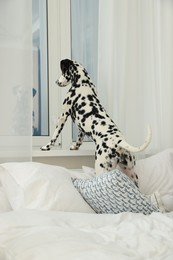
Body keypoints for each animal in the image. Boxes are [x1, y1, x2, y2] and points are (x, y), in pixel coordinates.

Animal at [41, 58, 151, 187]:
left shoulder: (63, 115)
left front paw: (46, 147)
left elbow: (55, 135)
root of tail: (119, 142)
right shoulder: (81, 128)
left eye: (63, 71)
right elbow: (79, 139)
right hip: (131, 173)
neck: (83, 83)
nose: (56, 82)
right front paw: (74, 147)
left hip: (101, 168)